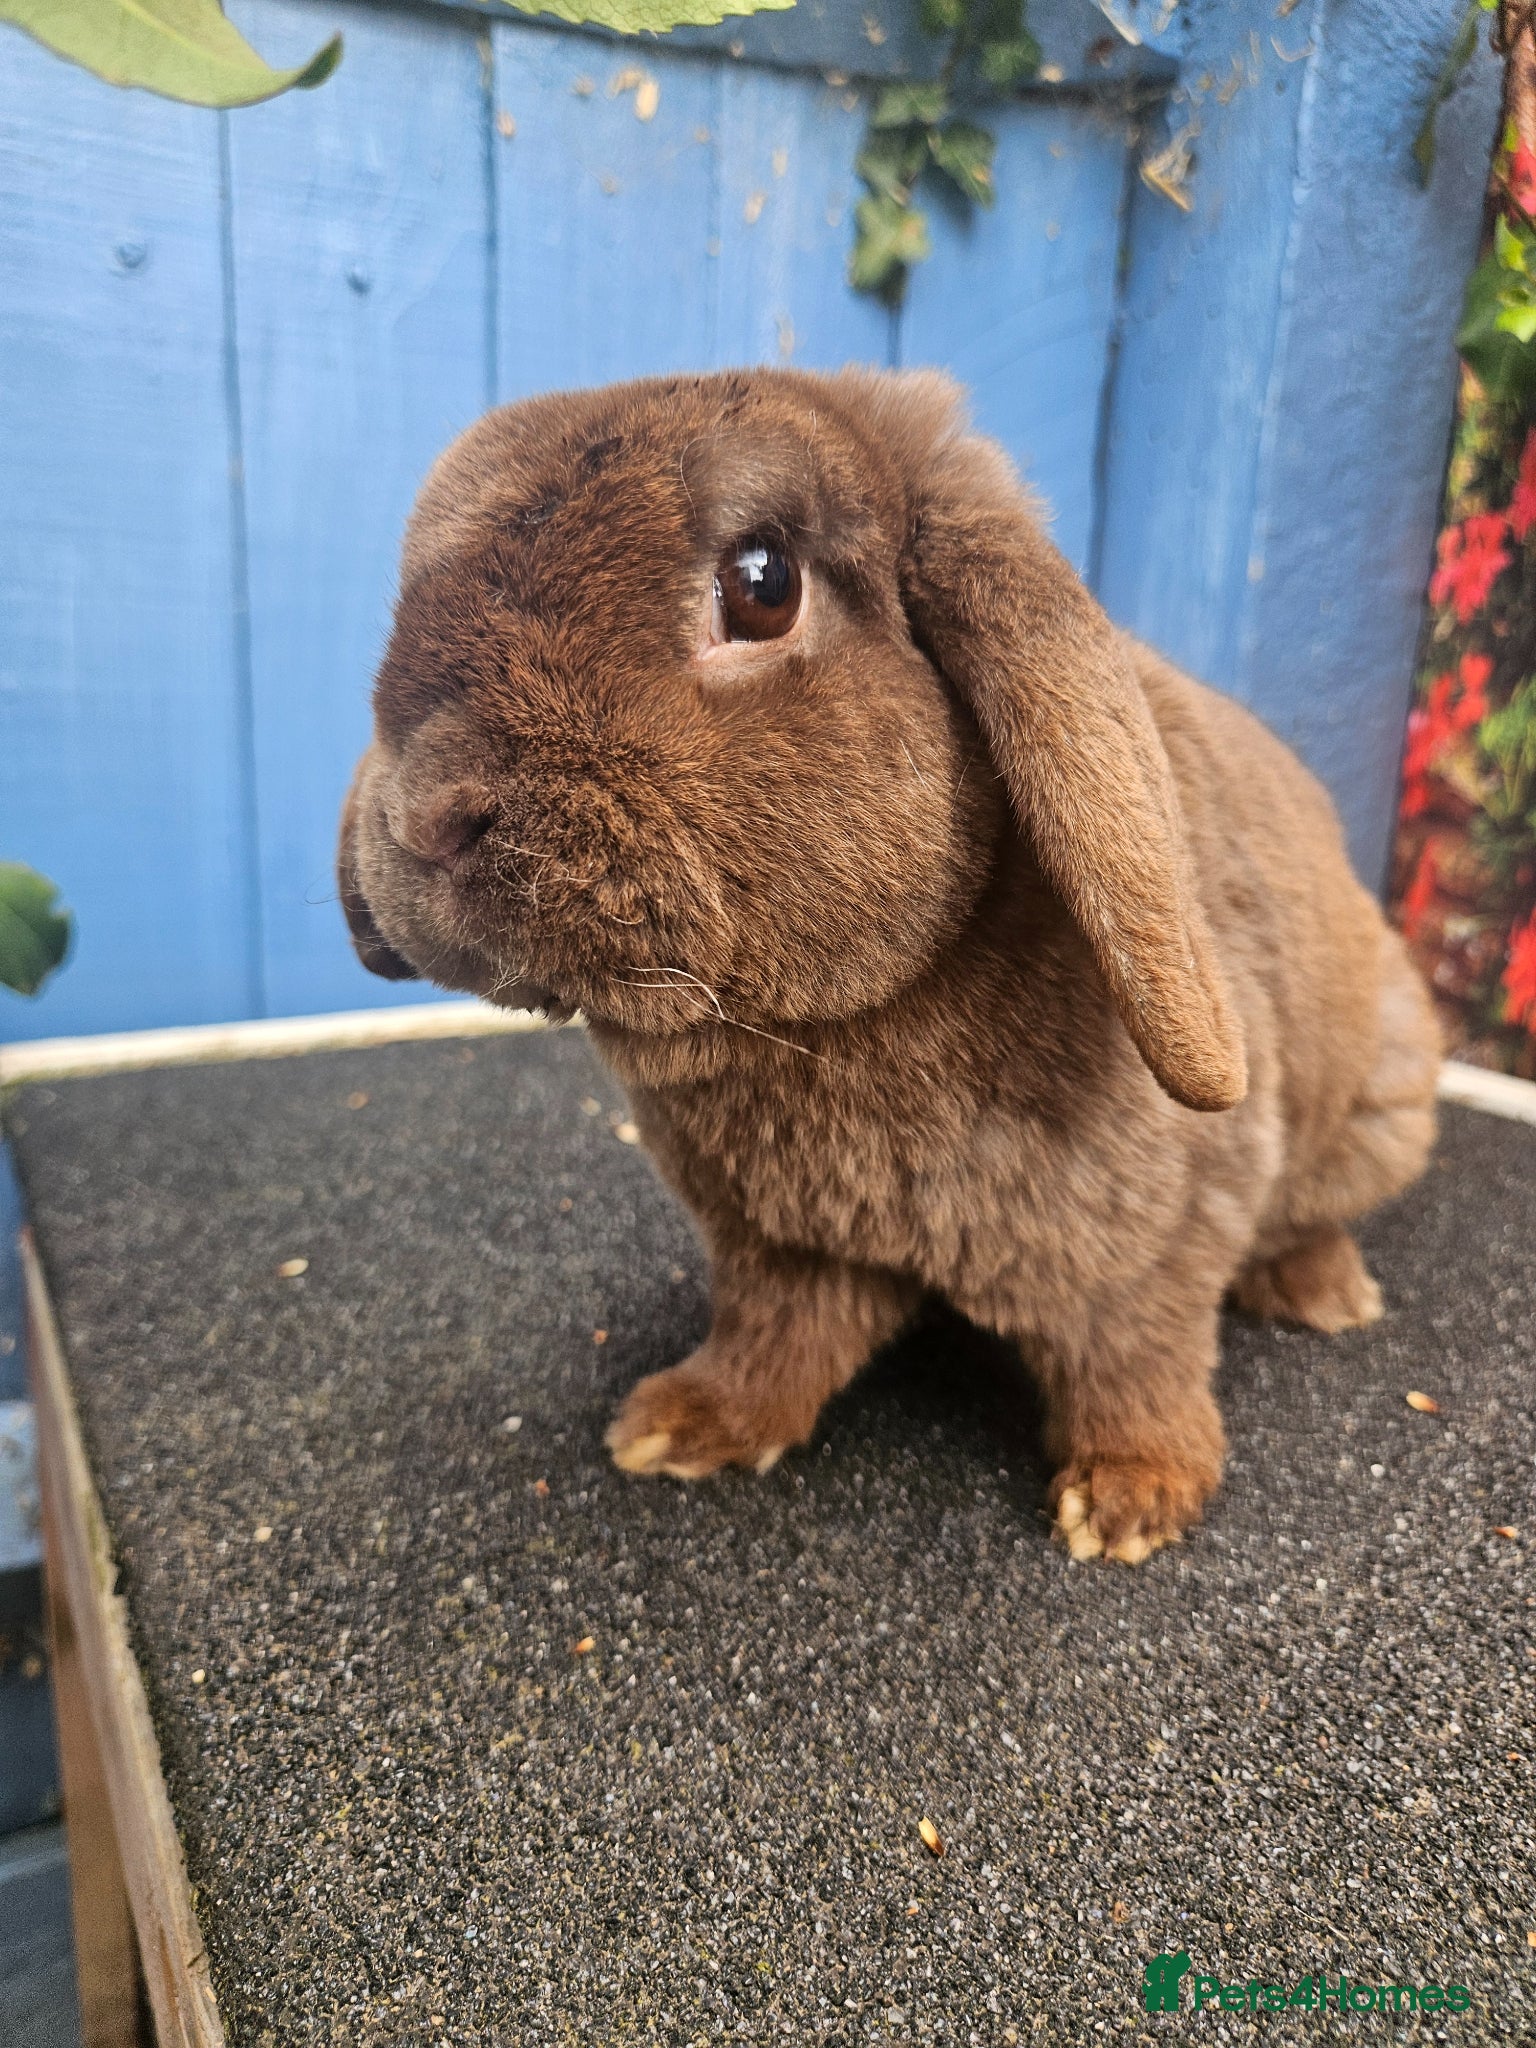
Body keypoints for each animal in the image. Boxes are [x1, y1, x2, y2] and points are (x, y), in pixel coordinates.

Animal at [338, 366, 1440, 1563]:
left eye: (763, 586)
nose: (426, 815)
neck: (836, 1023)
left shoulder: (1158, 1239)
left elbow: (1136, 1359)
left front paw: (1130, 1497)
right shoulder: (781, 1249)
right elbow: (776, 1337)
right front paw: (688, 1423)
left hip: (1376, 1108)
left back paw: (1321, 1290)